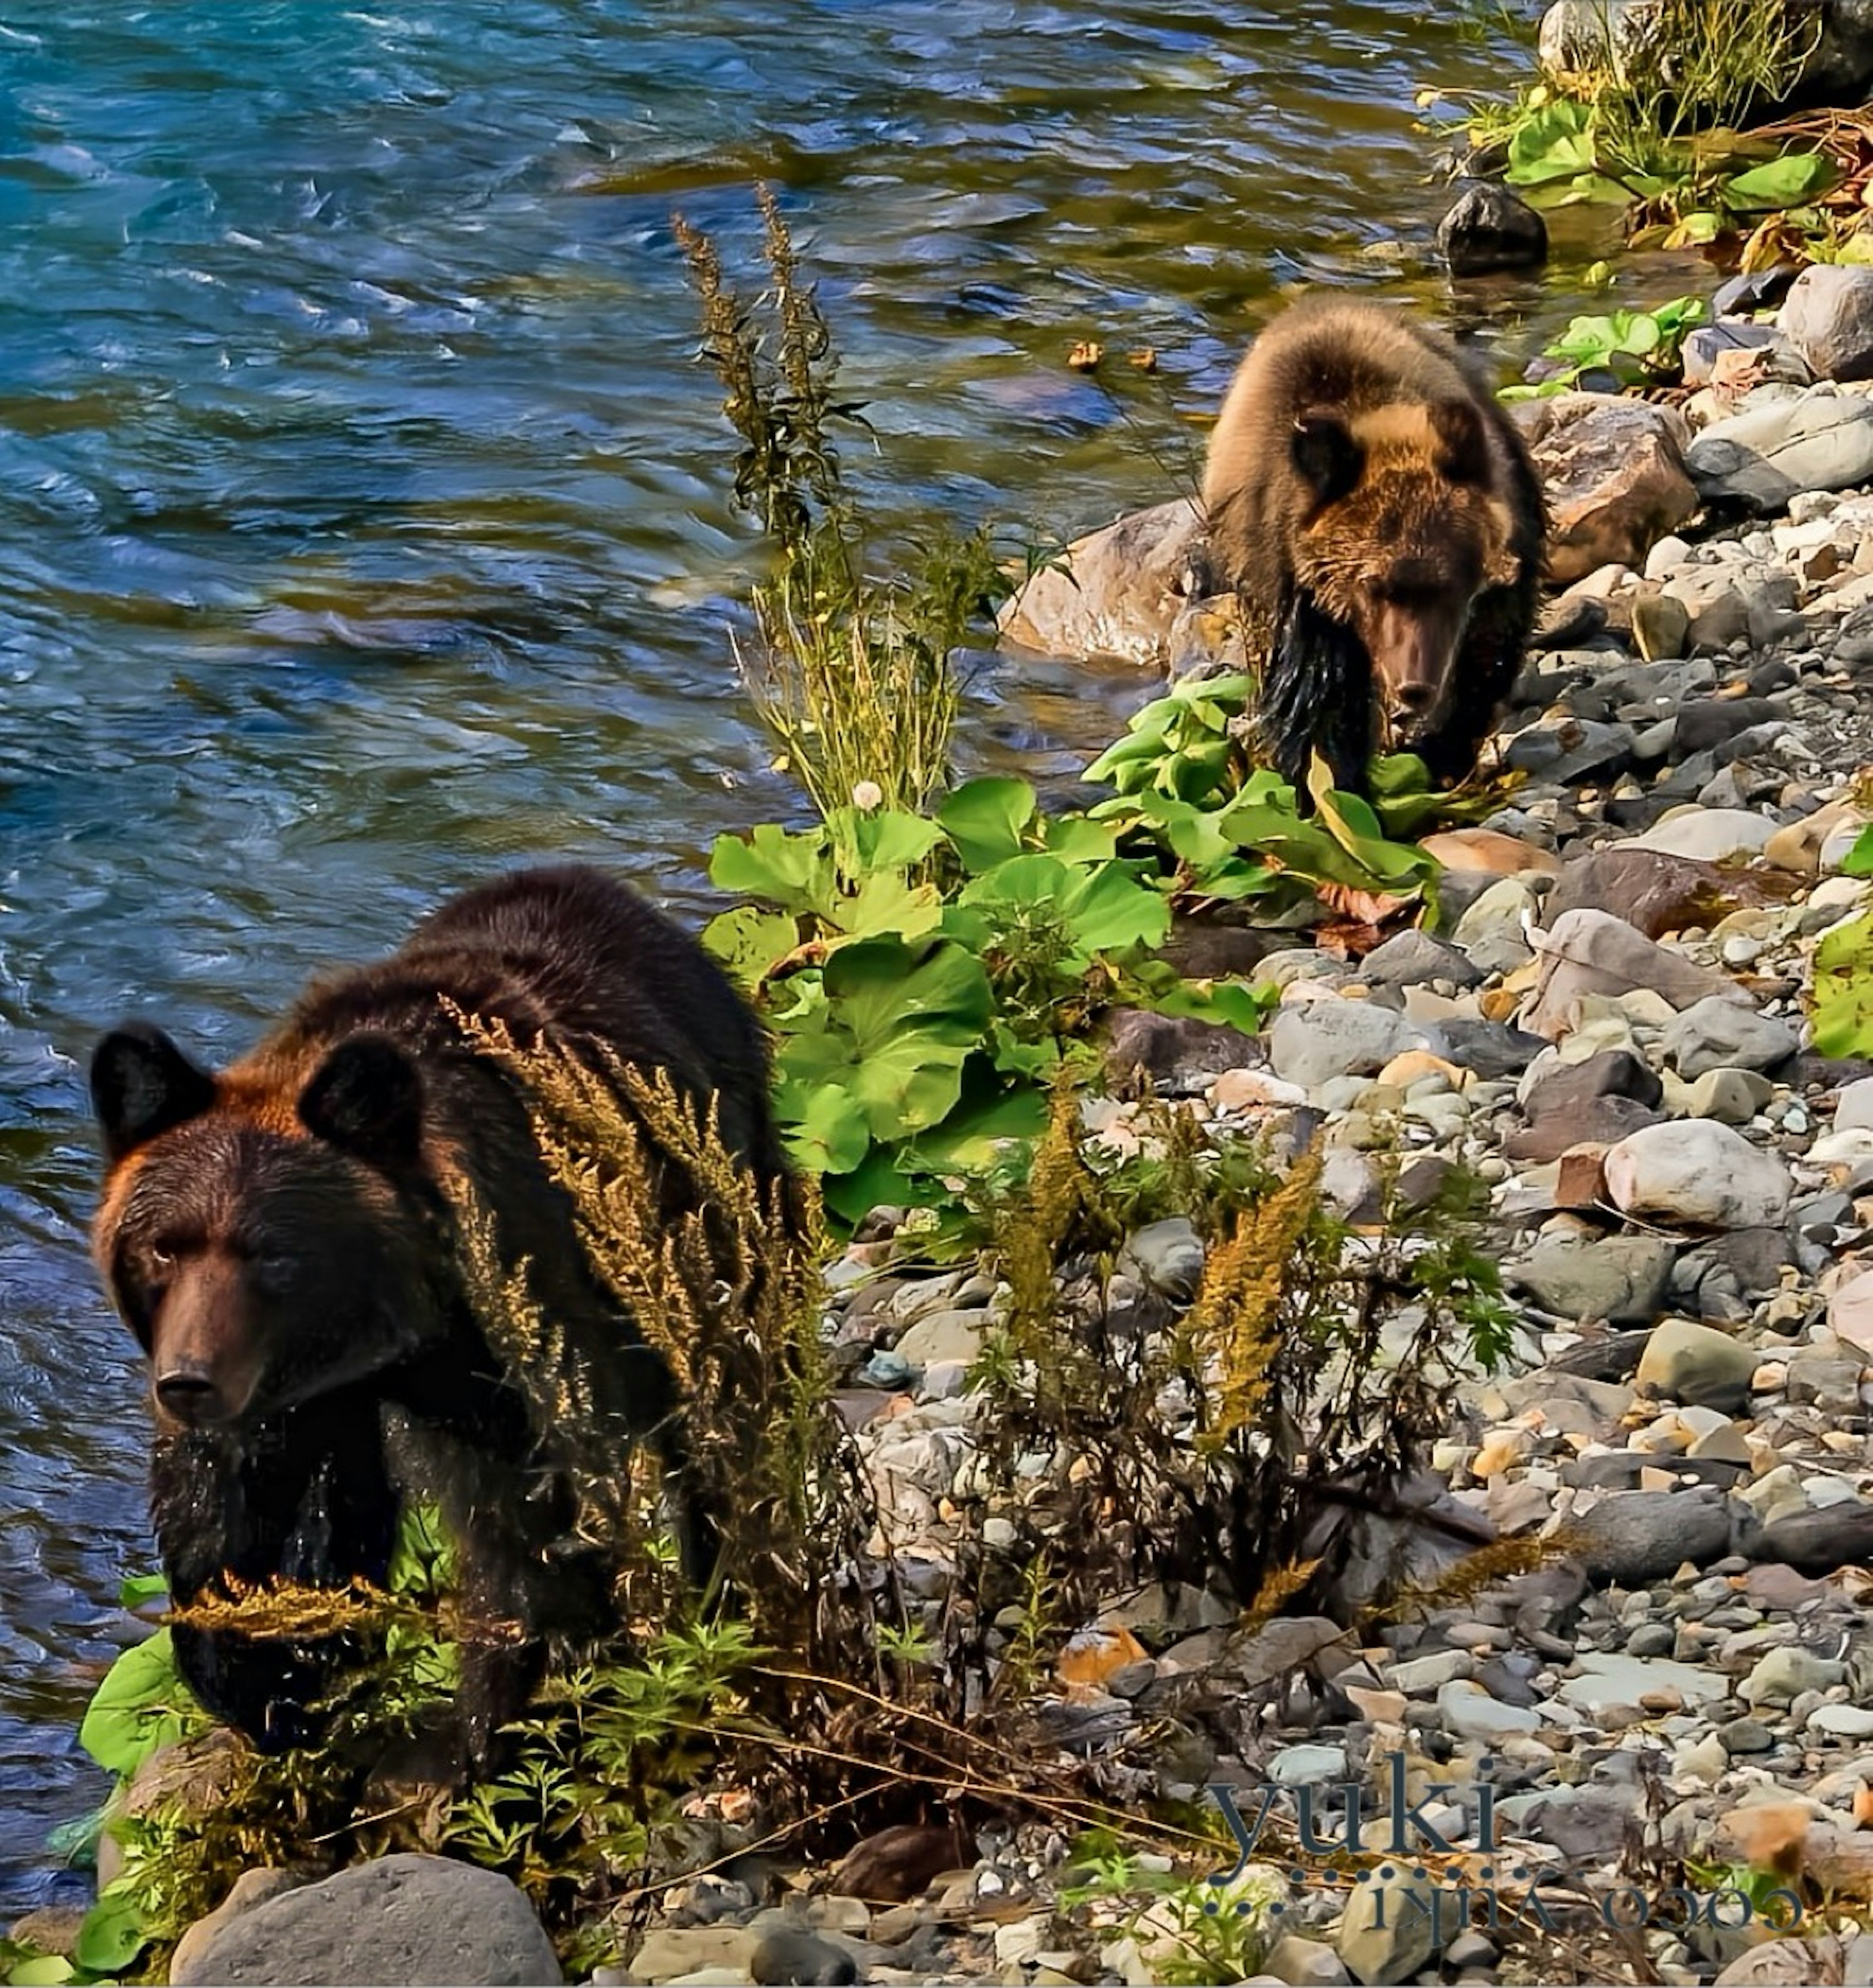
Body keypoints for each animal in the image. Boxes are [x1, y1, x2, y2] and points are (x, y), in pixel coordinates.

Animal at [91, 867, 791, 1757]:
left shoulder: (519, 1346)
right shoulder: (301, 1400)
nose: (189, 1381)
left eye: (274, 1254)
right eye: (164, 1247)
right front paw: (278, 1681)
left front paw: (507, 1725)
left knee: (723, 1414)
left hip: (712, 1212)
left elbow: (530, 1536)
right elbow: (234, 1521)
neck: (401, 1334)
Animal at [1209, 298, 1551, 795]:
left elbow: (1488, 655)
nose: (1414, 687)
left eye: (1450, 583)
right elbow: (1316, 708)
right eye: (1373, 586)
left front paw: (1445, 751)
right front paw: (1332, 786)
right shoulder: (1300, 597)